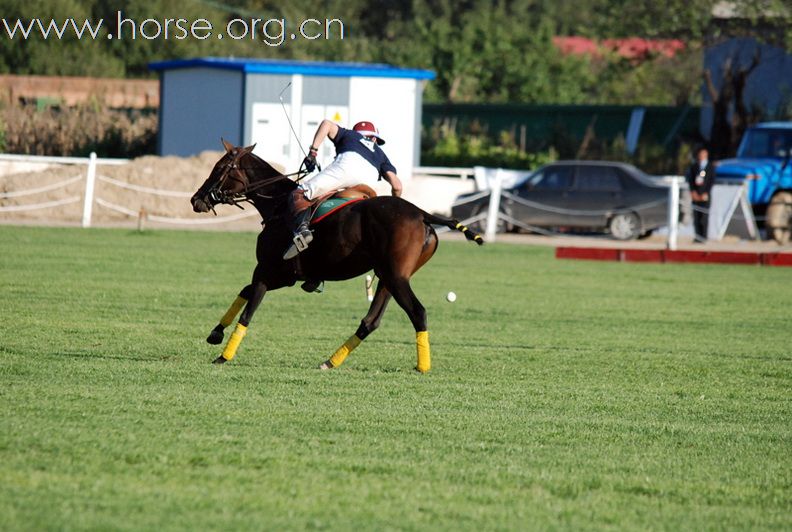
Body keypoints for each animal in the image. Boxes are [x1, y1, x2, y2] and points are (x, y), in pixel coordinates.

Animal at [192, 141, 482, 372]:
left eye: (219, 168)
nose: (197, 200)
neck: (277, 205)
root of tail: (423, 213)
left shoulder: (266, 270)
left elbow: (249, 309)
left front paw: (224, 356)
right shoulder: (285, 276)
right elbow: (244, 291)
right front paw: (215, 333)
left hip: (397, 277)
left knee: (418, 312)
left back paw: (422, 367)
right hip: (388, 277)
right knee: (370, 321)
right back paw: (330, 361)